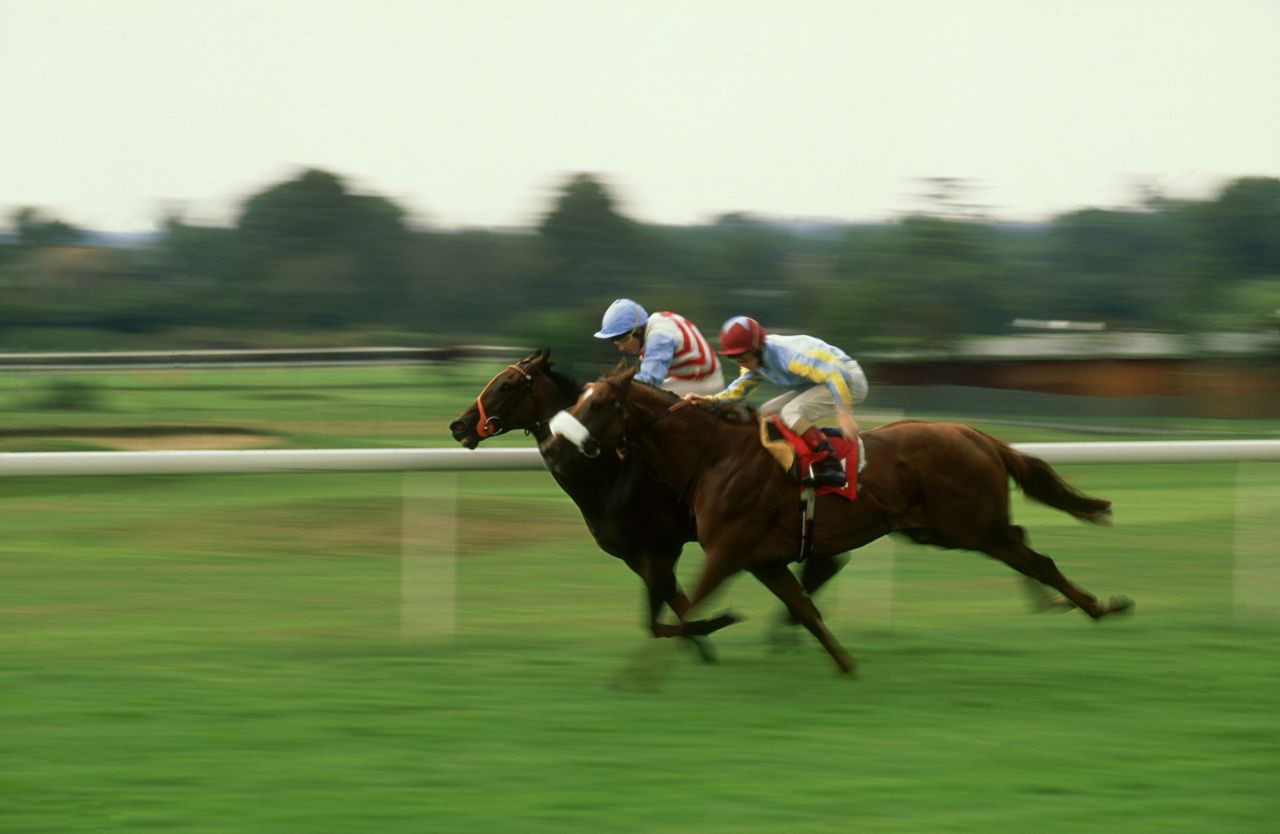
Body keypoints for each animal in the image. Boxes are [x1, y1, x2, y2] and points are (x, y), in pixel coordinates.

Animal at [445, 347, 844, 654]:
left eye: (506, 385)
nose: (459, 425)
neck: (607, 471)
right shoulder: (633, 554)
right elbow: (673, 610)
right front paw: (704, 645)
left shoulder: (662, 545)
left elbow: (672, 613)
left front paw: (714, 629)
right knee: (823, 565)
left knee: (822, 565)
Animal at [540, 368, 1131, 675]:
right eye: (578, 399)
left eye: (598, 405)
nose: (554, 449)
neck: (713, 457)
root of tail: (977, 434)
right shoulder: (759, 558)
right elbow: (801, 607)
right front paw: (843, 662)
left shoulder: (722, 551)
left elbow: (685, 610)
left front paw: (654, 666)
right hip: (950, 529)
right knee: (1028, 551)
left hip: (972, 527)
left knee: (1038, 559)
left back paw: (1099, 607)